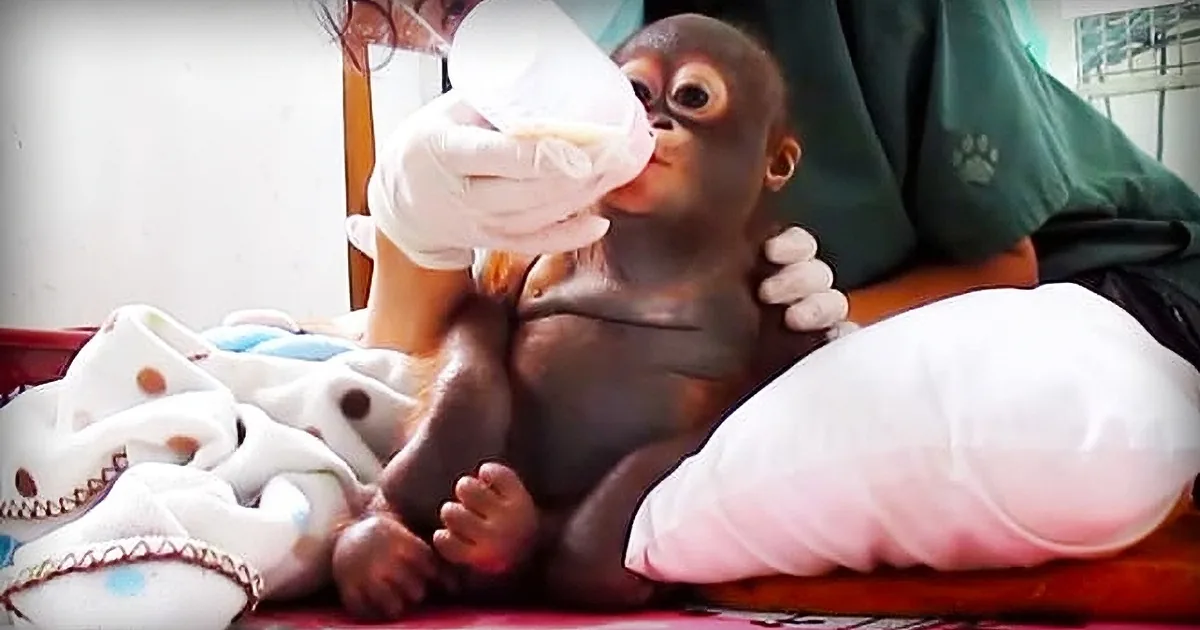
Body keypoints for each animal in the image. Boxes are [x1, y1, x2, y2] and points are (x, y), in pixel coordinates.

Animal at [330, 14, 830, 621]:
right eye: (637, 92)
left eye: (692, 97)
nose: (654, 121)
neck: (656, 244)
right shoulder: (529, 242)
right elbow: (480, 322)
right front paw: (445, 444)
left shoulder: (773, 281)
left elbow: (754, 392)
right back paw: (379, 545)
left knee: (579, 566)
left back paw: (500, 533)